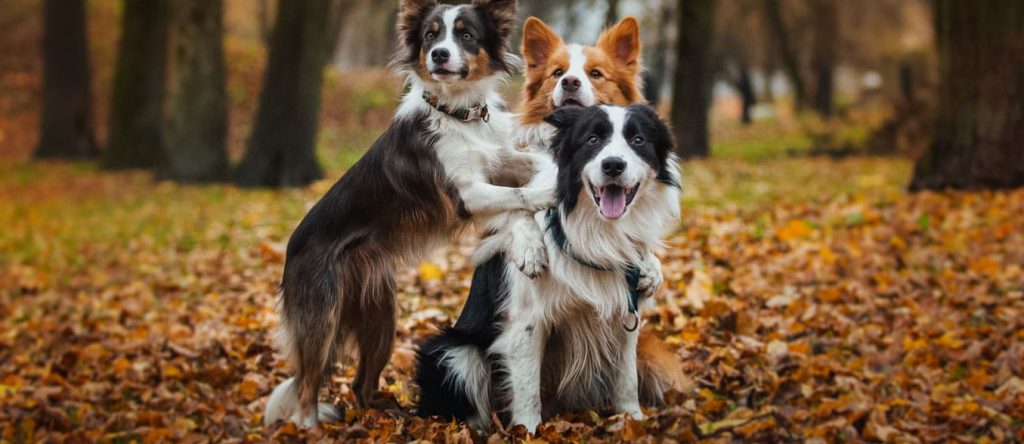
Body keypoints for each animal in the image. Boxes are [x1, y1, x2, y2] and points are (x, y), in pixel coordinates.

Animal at [411, 103, 684, 429]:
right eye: (592, 139)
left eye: (638, 140)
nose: (613, 166)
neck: (596, 232)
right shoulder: (527, 321)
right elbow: (528, 388)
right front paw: (527, 431)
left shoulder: (627, 315)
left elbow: (626, 377)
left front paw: (632, 420)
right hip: (453, 351)